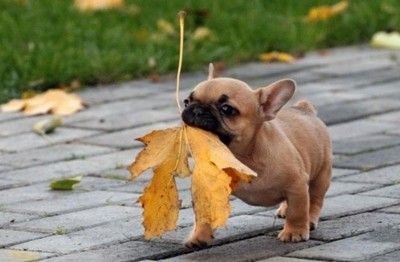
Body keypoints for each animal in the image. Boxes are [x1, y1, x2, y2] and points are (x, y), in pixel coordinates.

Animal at [181, 64, 332, 248]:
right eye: (187, 101)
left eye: (227, 109)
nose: (196, 109)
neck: (240, 158)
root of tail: (304, 108)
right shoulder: (206, 190)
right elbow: (203, 215)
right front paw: (199, 236)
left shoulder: (296, 184)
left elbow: (298, 211)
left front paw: (294, 232)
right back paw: (284, 209)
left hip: (321, 174)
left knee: (315, 199)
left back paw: (309, 219)